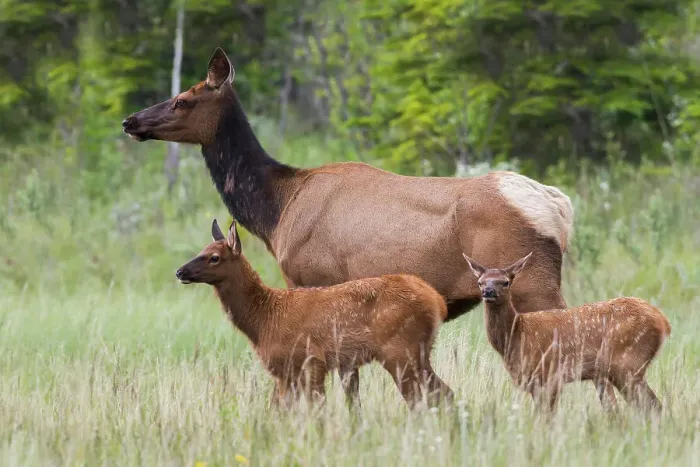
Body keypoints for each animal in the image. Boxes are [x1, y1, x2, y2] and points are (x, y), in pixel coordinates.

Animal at [175, 219, 454, 409]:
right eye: (201, 250)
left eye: (214, 257)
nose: (180, 271)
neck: (264, 320)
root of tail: (436, 301)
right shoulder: (285, 374)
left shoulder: (311, 361)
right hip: (416, 353)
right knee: (444, 393)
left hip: (400, 351)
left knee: (423, 398)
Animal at [462, 252, 671, 414]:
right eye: (480, 282)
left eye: (505, 282)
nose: (489, 291)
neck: (516, 336)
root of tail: (663, 321)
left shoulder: (550, 375)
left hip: (627, 363)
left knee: (652, 407)